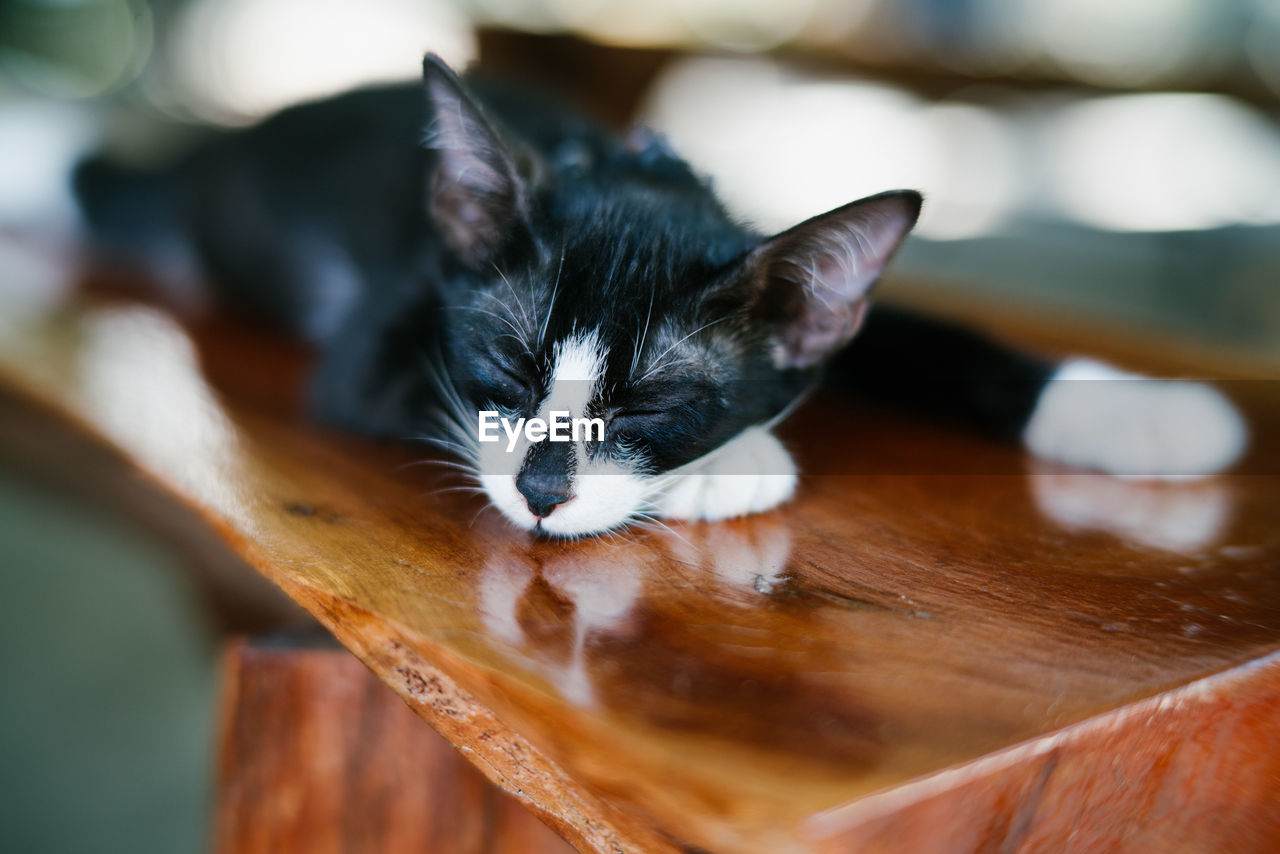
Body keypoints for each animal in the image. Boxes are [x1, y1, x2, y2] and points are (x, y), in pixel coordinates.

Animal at [72, 53, 1249, 537]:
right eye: (505, 365)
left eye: (651, 404)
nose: (542, 493)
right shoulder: (384, 334)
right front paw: (738, 462)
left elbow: (919, 330)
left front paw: (1133, 407)